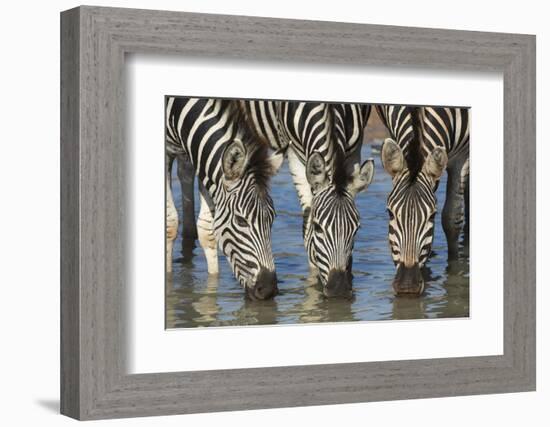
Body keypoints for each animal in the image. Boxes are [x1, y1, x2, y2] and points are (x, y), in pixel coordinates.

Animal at [166, 98, 284, 300]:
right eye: (241, 220)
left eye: (272, 218)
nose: (268, 290)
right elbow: (170, 223)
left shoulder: (201, 156)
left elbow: (207, 230)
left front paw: (212, 285)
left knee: (185, 172)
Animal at [242, 100, 376, 298]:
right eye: (318, 227)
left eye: (357, 229)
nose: (339, 291)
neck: (329, 110)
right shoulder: (293, 155)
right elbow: (307, 228)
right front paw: (314, 285)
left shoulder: (355, 150)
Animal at [378, 105, 472, 296]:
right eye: (390, 213)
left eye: (432, 215)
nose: (407, 286)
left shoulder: (463, 154)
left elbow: (452, 219)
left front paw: (454, 273)